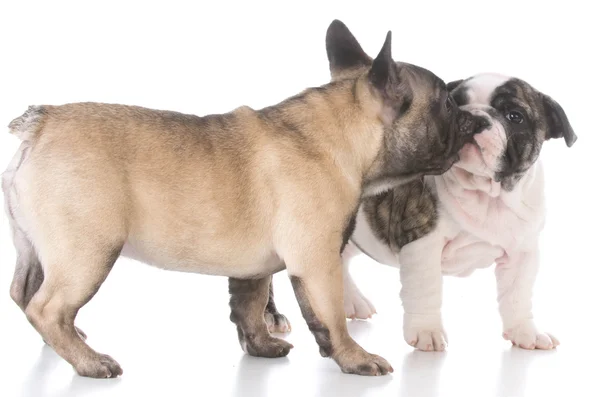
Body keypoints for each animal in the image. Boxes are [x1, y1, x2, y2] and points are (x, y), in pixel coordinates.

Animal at [1, 19, 488, 378]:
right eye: (447, 104)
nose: (473, 120)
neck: (345, 134)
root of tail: (40, 124)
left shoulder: (254, 268)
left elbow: (250, 306)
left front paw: (262, 346)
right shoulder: (317, 261)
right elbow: (330, 314)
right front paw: (354, 358)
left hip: (35, 246)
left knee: (24, 294)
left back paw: (70, 342)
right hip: (88, 250)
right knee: (47, 307)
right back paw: (90, 362)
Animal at [338, 73, 576, 350]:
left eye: (515, 116)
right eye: (454, 104)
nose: (474, 117)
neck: (487, 194)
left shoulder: (522, 253)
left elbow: (517, 295)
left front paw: (525, 332)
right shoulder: (423, 245)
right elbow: (426, 290)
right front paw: (427, 331)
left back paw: (352, 301)